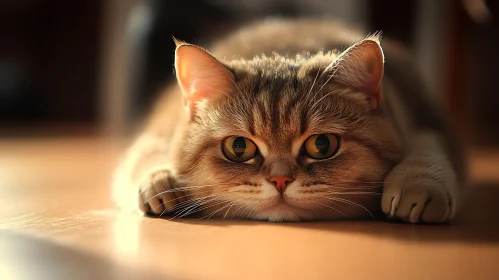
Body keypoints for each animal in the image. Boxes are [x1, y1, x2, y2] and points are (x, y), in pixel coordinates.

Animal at [112, 18, 464, 223]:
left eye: (322, 144)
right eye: (238, 148)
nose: (280, 180)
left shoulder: (427, 126)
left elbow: (427, 154)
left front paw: (418, 184)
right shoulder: (155, 136)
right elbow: (147, 158)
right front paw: (161, 181)